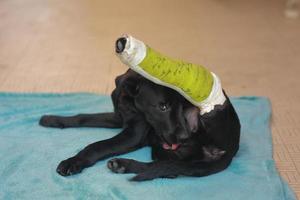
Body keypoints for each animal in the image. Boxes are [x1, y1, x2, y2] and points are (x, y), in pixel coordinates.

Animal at [40, 69, 241, 181]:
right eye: (163, 106)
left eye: (182, 105)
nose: (184, 136)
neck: (129, 101)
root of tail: (232, 148)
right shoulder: (118, 117)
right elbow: (84, 117)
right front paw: (51, 119)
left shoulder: (133, 134)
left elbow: (96, 146)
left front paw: (72, 162)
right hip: (163, 148)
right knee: (167, 166)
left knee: (169, 168)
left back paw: (121, 164)